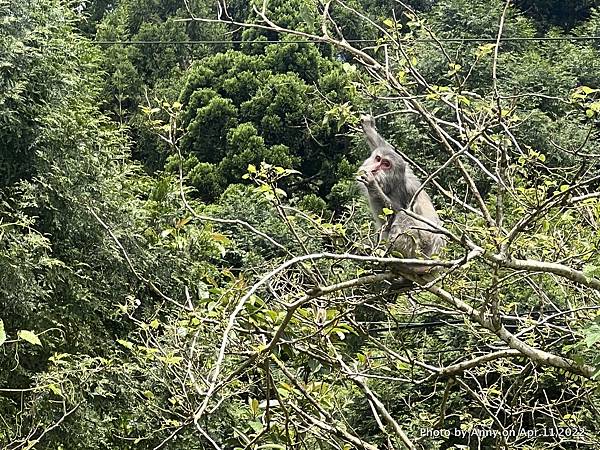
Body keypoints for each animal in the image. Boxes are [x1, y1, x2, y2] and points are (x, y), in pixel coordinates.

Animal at [356, 113, 446, 260]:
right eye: (378, 159)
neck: (392, 184)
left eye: (386, 164)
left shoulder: (404, 190)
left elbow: (393, 212)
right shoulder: (407, 170)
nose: (374, 169)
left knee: (404, 217)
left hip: (420, 250)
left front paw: (372, 185)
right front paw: (369, 127)